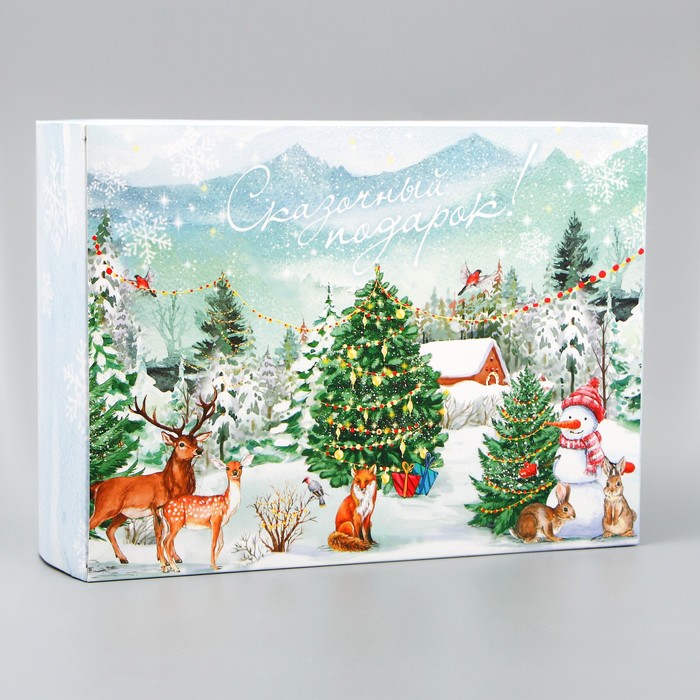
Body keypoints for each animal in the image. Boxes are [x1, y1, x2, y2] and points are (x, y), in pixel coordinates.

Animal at [89, 389, 217, 572]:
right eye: (181, 444)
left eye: (195, 441)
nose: (199, 451)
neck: (171, 485)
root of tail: (99, 485)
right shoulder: (156, 505)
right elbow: (159, 532)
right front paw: (164, 563)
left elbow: (168, 532)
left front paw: (175, 559)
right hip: (105, 507)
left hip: (122, 513)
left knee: (110, 530)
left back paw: (123, 558)